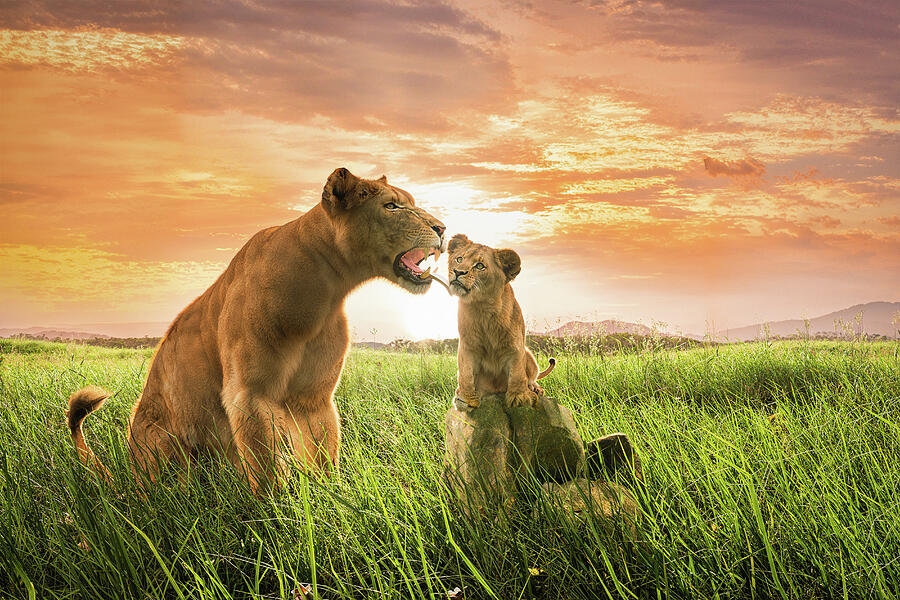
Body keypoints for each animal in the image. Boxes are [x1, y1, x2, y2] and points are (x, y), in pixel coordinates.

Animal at [67, 168, 447, 492]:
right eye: (392, 206)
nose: (442, 229)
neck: (327, 287)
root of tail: (130, 476)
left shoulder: (314, 397)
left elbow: (324, 457)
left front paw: (331, 501)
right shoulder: (250, 393)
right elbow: (267, 472)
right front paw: (279, 519)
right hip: (164, 441)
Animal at [447, 234, 555, 409]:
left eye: (480, 266)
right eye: (459, 259)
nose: (458, 272)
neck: (481, 307)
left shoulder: (515, 344)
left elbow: (517, 371)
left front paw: (519, 397)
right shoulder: (467, 345)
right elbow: (466, 372)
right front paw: (466, 399)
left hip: (528, 353)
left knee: (531, 376)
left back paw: (535, 388)